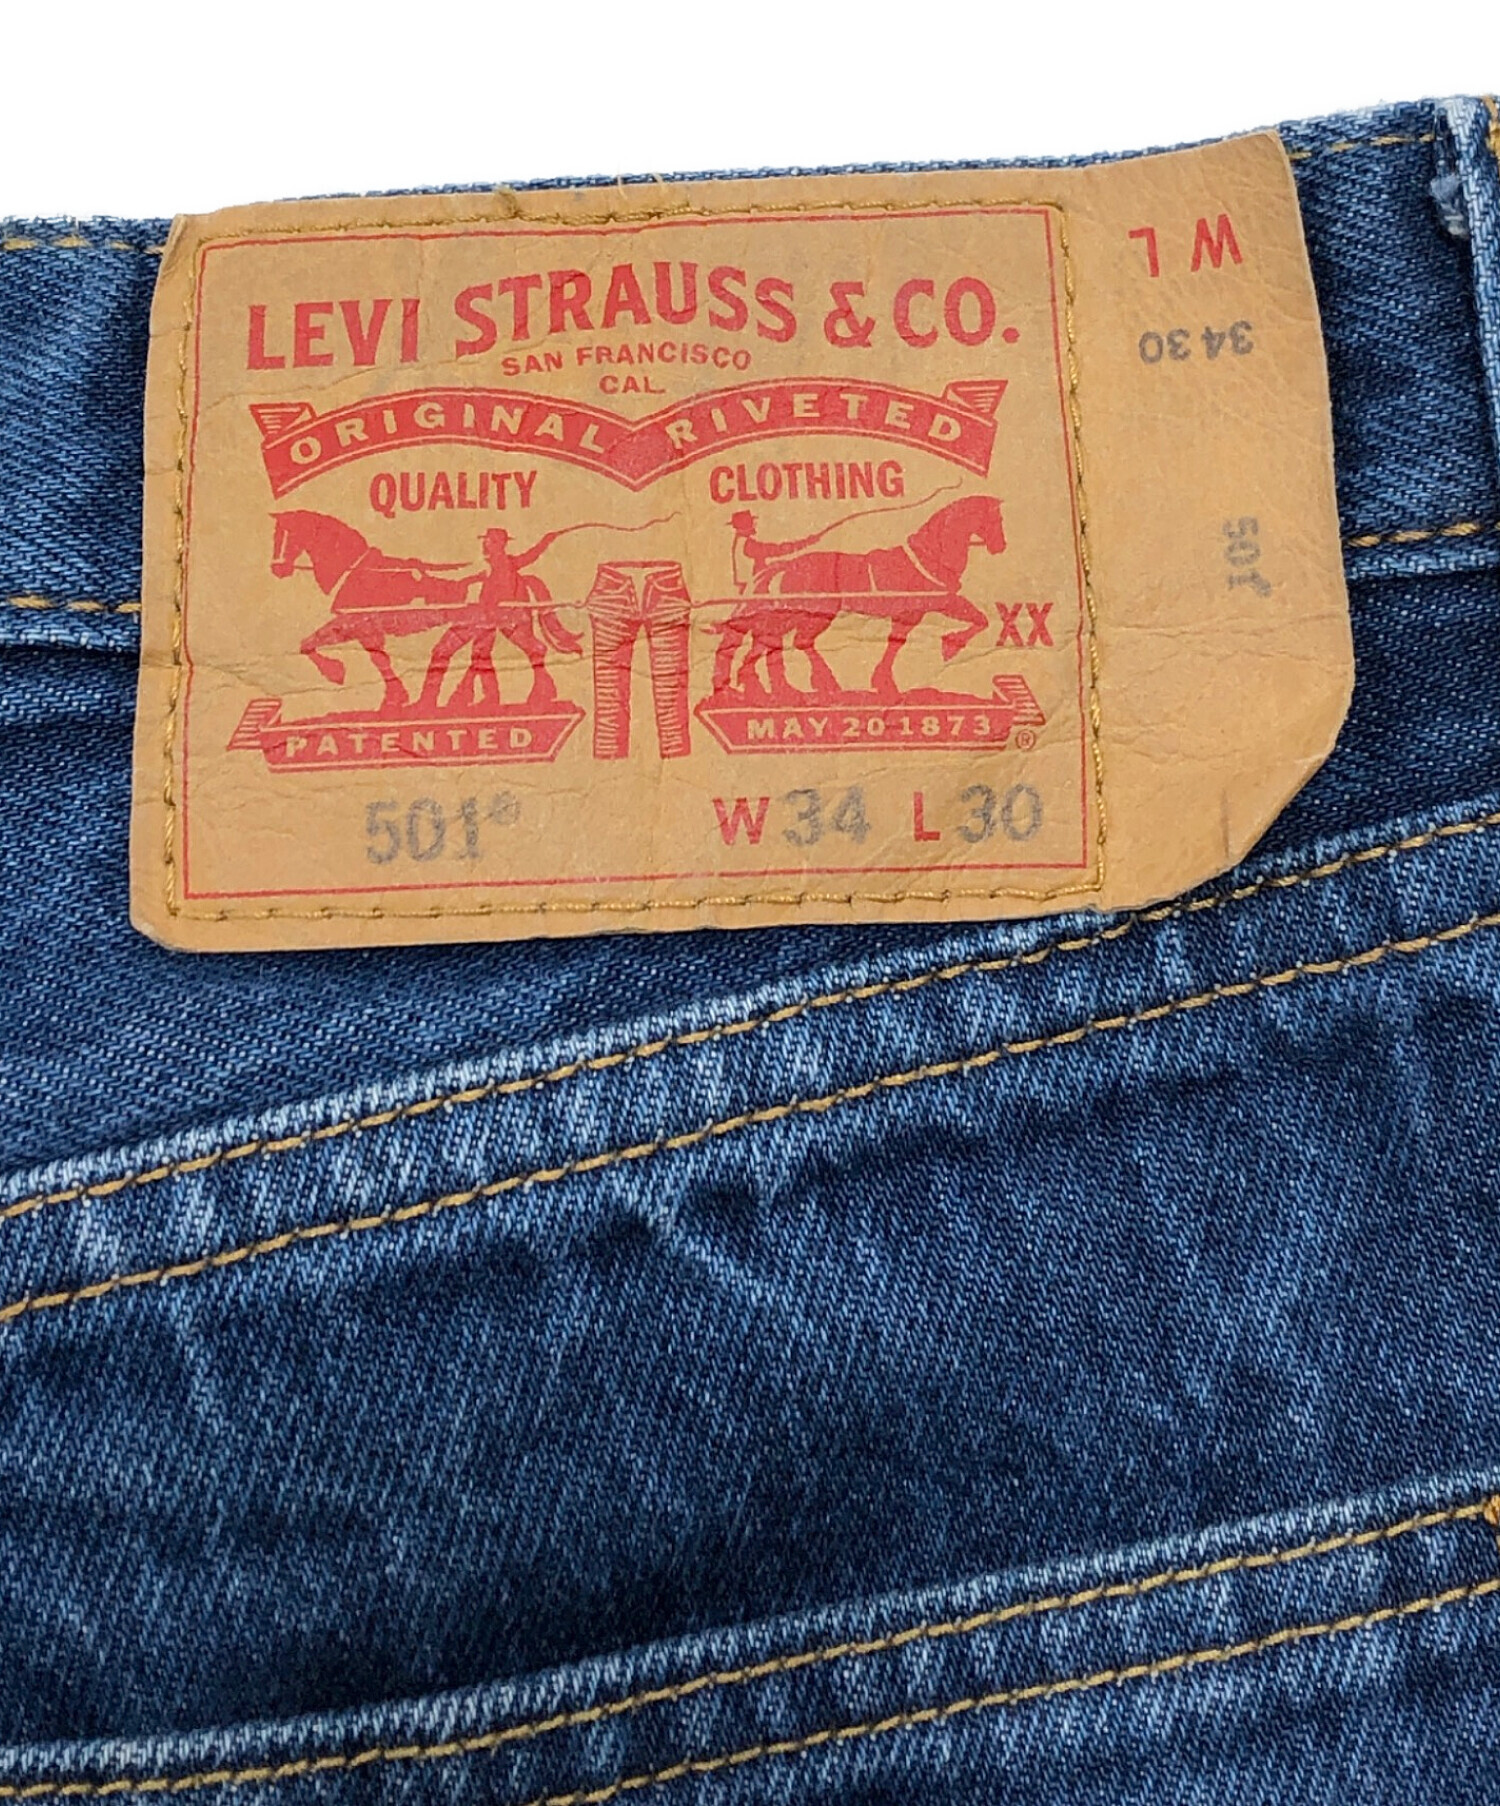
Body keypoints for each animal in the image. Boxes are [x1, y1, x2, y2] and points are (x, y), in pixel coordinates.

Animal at [710, 495, 1006, 701]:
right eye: (996, 520)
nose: (1000, 547)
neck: (930, 556)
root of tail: (787, 566)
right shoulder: (930, 606)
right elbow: (978, 619)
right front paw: (948, 647)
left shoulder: (914, 612)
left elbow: (898, 642)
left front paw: (884, 684)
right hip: (816, 614)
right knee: (792, 642)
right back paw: (818, 685)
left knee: (768, 643)